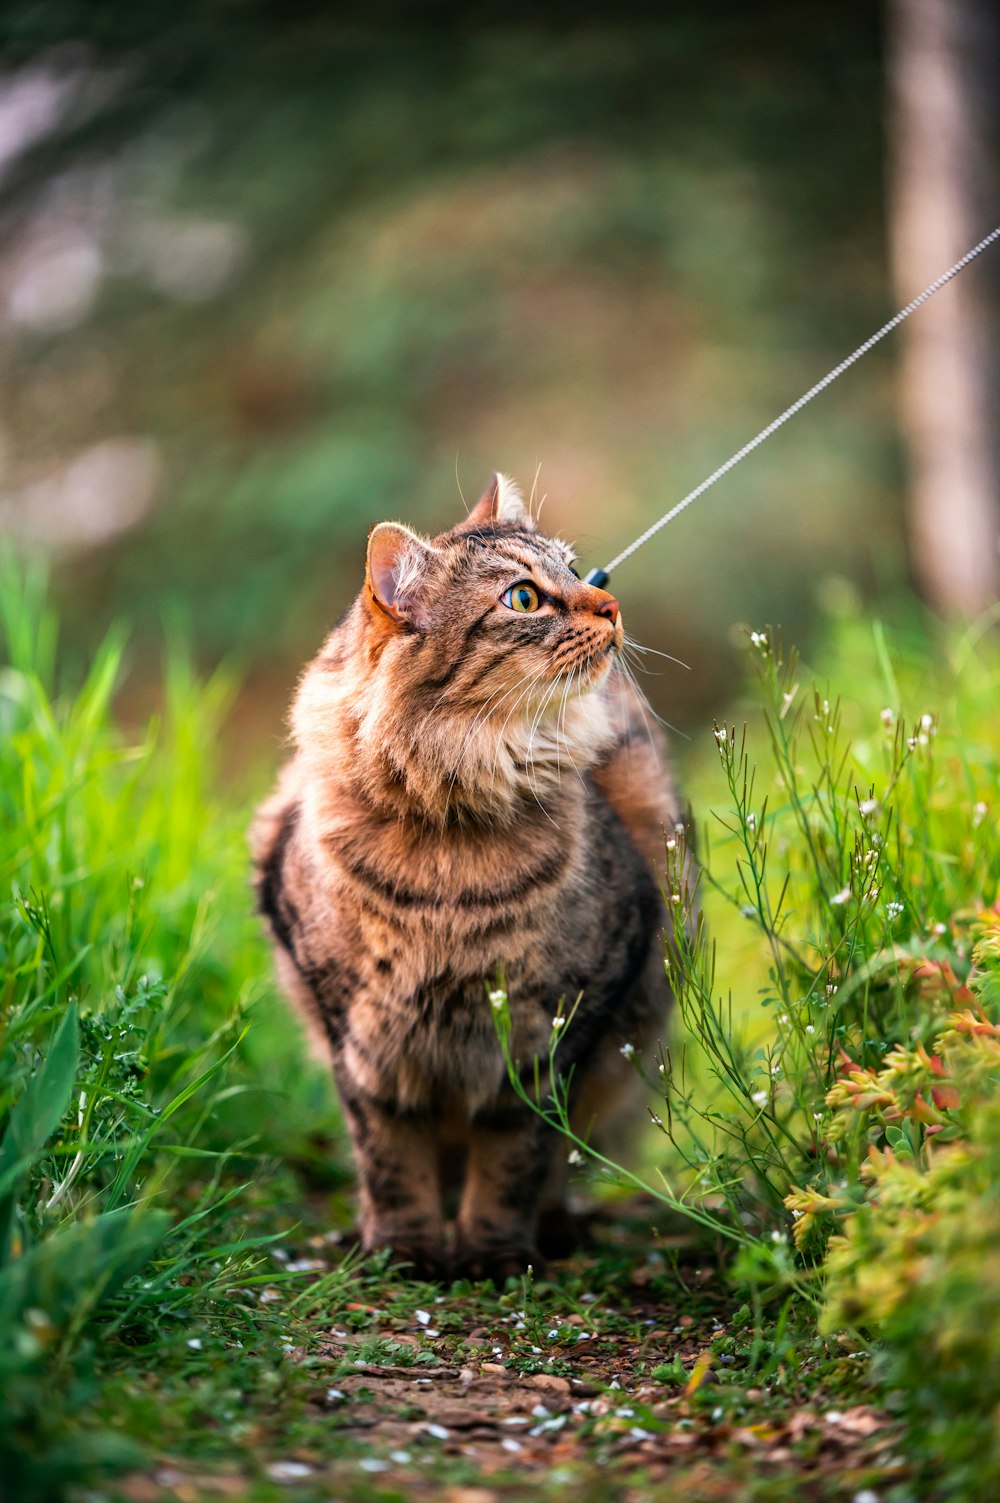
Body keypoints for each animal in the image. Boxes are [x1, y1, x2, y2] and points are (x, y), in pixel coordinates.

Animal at [251, 471, 685, 1280]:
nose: (608, 603)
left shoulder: (556, 1030)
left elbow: (516, 1159)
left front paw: (492, 1251)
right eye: (524, 598)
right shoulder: (360, 1038)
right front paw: (406, 1248)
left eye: (574, 571)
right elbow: (390, 1158)